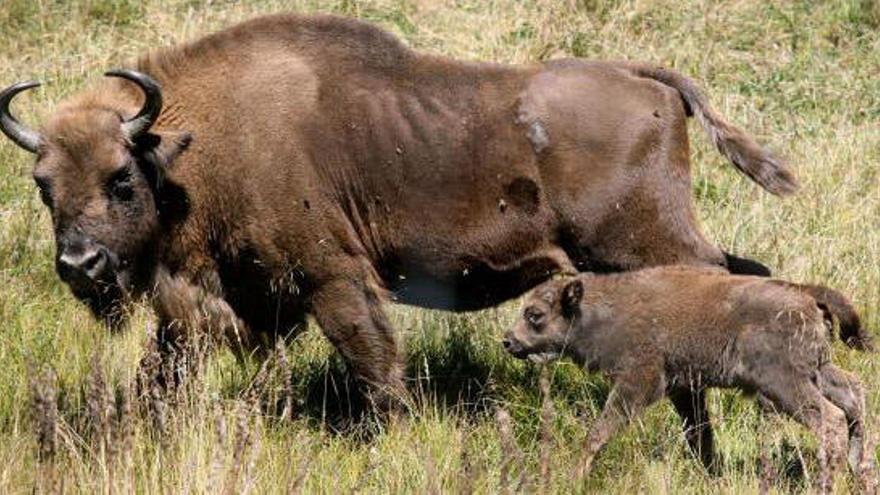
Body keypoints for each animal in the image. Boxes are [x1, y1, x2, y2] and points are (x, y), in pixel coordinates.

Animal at [0, 13, 796, 406]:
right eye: (43, 183)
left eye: (121, 179)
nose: (79, 263)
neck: (199, 139)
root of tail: (647, 82)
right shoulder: (233, 301)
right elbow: (163, 371)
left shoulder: (332, 278)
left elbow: (374, 363)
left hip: (644, 244)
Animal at [506, 270, 876, 494]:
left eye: (535, 314)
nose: (508, 341)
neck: (598, 311)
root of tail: (805, 294)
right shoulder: (683, 388)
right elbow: (698, 433)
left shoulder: (639, 380)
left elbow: (598, 431)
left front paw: (574, 478)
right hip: (819, 371)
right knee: (854, 395)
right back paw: (862, 474)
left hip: (785, 384)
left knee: (831, 419)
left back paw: (828, 483)